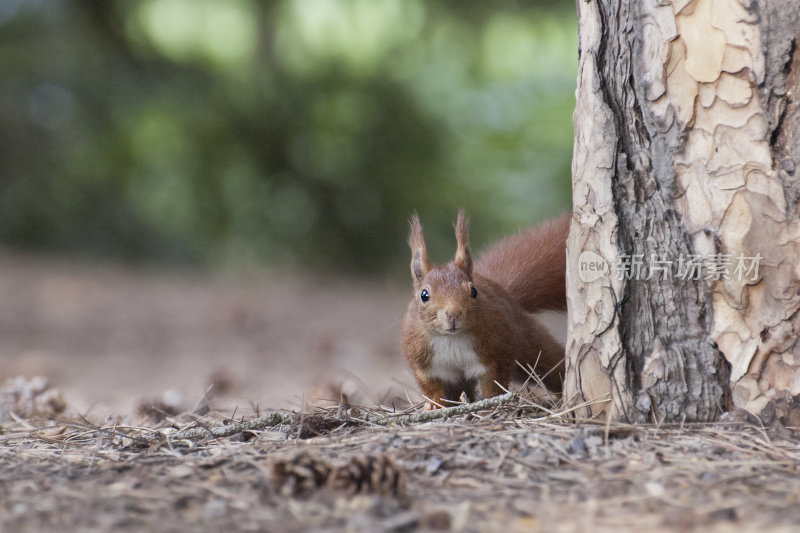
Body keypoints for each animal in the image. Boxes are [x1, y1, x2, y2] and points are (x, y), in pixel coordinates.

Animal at [400, 210, 568, 406]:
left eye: (473, 291)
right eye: (424, 295)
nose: (454, 314)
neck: (452, 339)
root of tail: (507, 295)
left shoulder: (495, 354)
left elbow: (493, 385)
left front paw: (489, 405)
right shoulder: (423, 364)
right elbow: (431, 388)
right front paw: (434, 405)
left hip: (530, 345)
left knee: (553, 365)